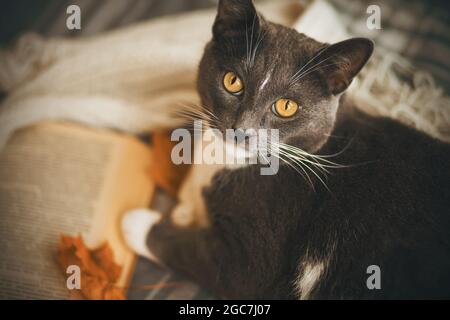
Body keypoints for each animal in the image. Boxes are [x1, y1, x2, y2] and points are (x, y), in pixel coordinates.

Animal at [121, 0, 450, 300]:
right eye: (232, 81)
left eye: (287, 107)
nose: (241, 130)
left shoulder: (254, 256)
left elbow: (193, 251)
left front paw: (137, 222)